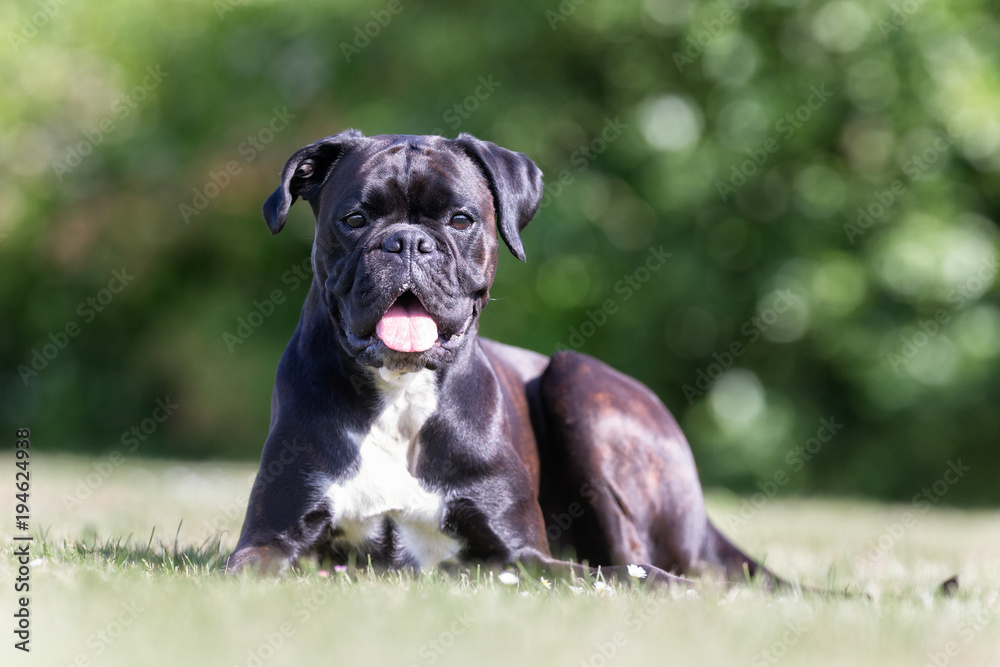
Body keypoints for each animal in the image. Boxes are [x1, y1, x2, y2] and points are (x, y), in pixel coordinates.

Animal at [229, 128, 772, 588]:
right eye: (355, 219)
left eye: (460, 220)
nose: (407, 241)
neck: (401, 398)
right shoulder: (266, 544)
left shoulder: (521, 556)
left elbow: (612, 575)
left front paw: (670, 590)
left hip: (578, 380)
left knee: (632, 556)